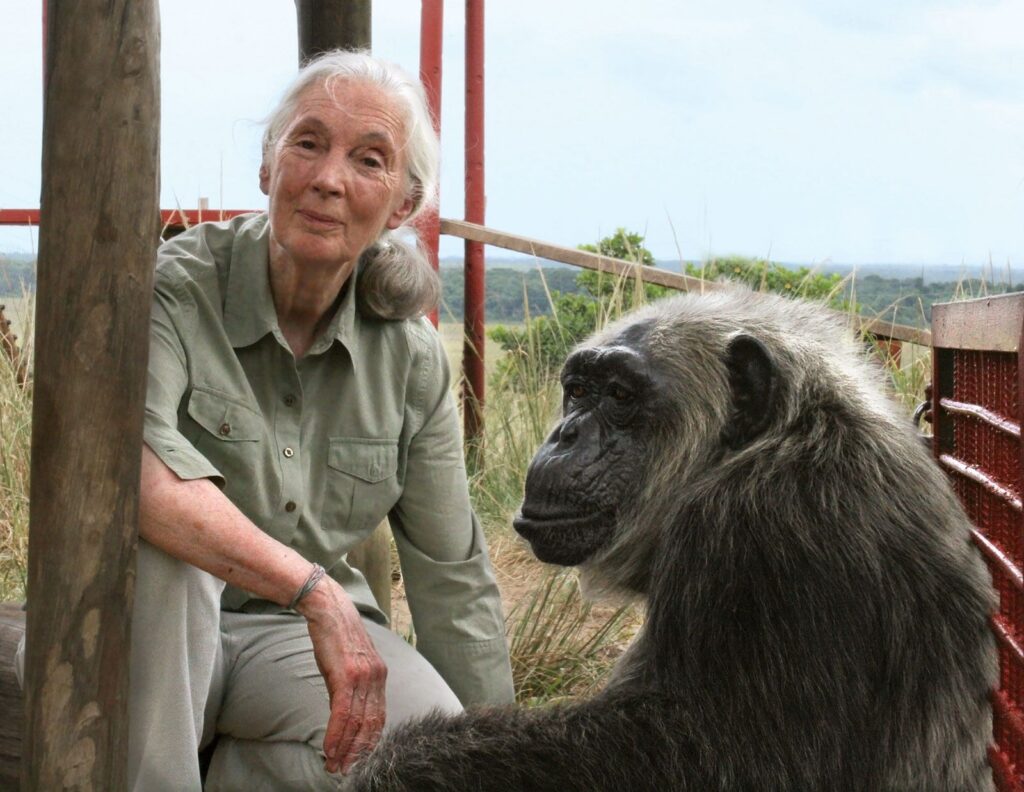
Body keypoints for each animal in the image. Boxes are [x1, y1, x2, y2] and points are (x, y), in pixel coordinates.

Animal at [346, 288, 997, 792]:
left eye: (620, 396)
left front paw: (401, 763)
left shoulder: (766, 534)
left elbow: (700, 756)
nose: (565, 434)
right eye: (578, 389)